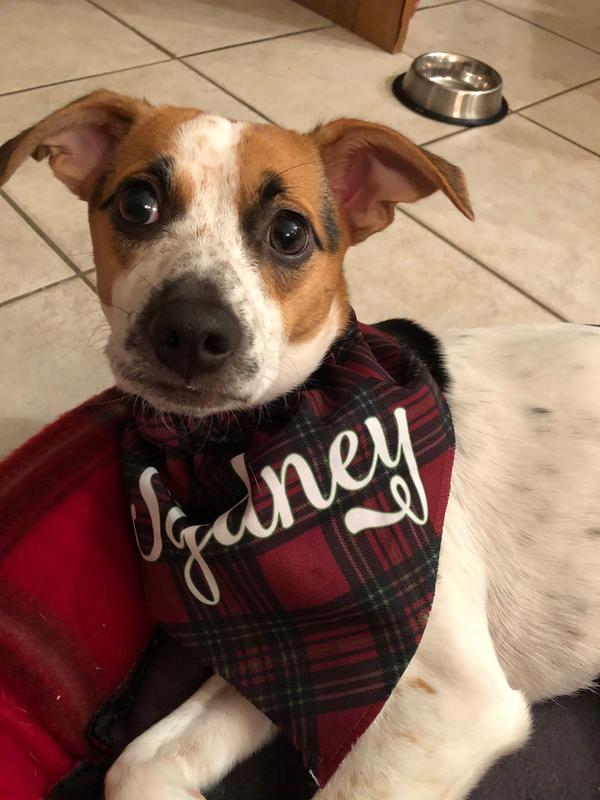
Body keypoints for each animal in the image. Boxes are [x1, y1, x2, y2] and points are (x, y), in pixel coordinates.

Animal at [1, 90, 600, 796]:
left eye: (289, 233)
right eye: (137, 203)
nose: (191, 332)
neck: (235, 451)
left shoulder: (449, 699)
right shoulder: (295, 648)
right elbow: (141, 759)